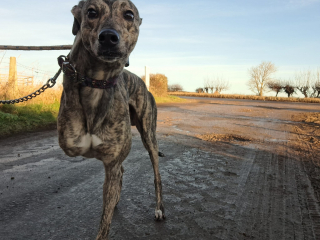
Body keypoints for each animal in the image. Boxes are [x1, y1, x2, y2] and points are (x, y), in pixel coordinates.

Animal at [57, 0, 166, 239]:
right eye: (91, 12)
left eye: (129, 15)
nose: (108, 37)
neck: (97, 82)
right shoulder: (71, 144)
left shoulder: (112, 161)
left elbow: (104, 224)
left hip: (150, 137)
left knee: (156, 174)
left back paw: (159, 208)